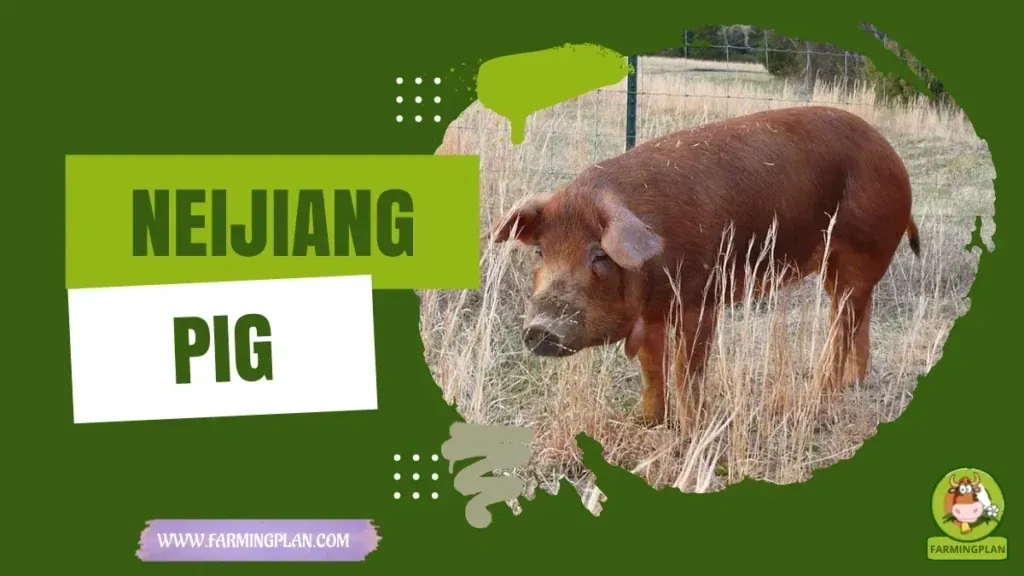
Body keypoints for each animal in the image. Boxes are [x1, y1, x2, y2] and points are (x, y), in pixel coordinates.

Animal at [487, 106, 920, 431]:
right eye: (540, 252)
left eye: (599, 255)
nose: (540, 328)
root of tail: (895, 158)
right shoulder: (653, 313)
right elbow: (651, 369)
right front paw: (645, 421)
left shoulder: (700, 298)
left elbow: (686, 371)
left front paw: (692, 427)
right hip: (837, 266)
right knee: (859, 314)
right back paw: (853, 382)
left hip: (861, 249)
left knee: (842, 323)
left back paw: (818, 394)